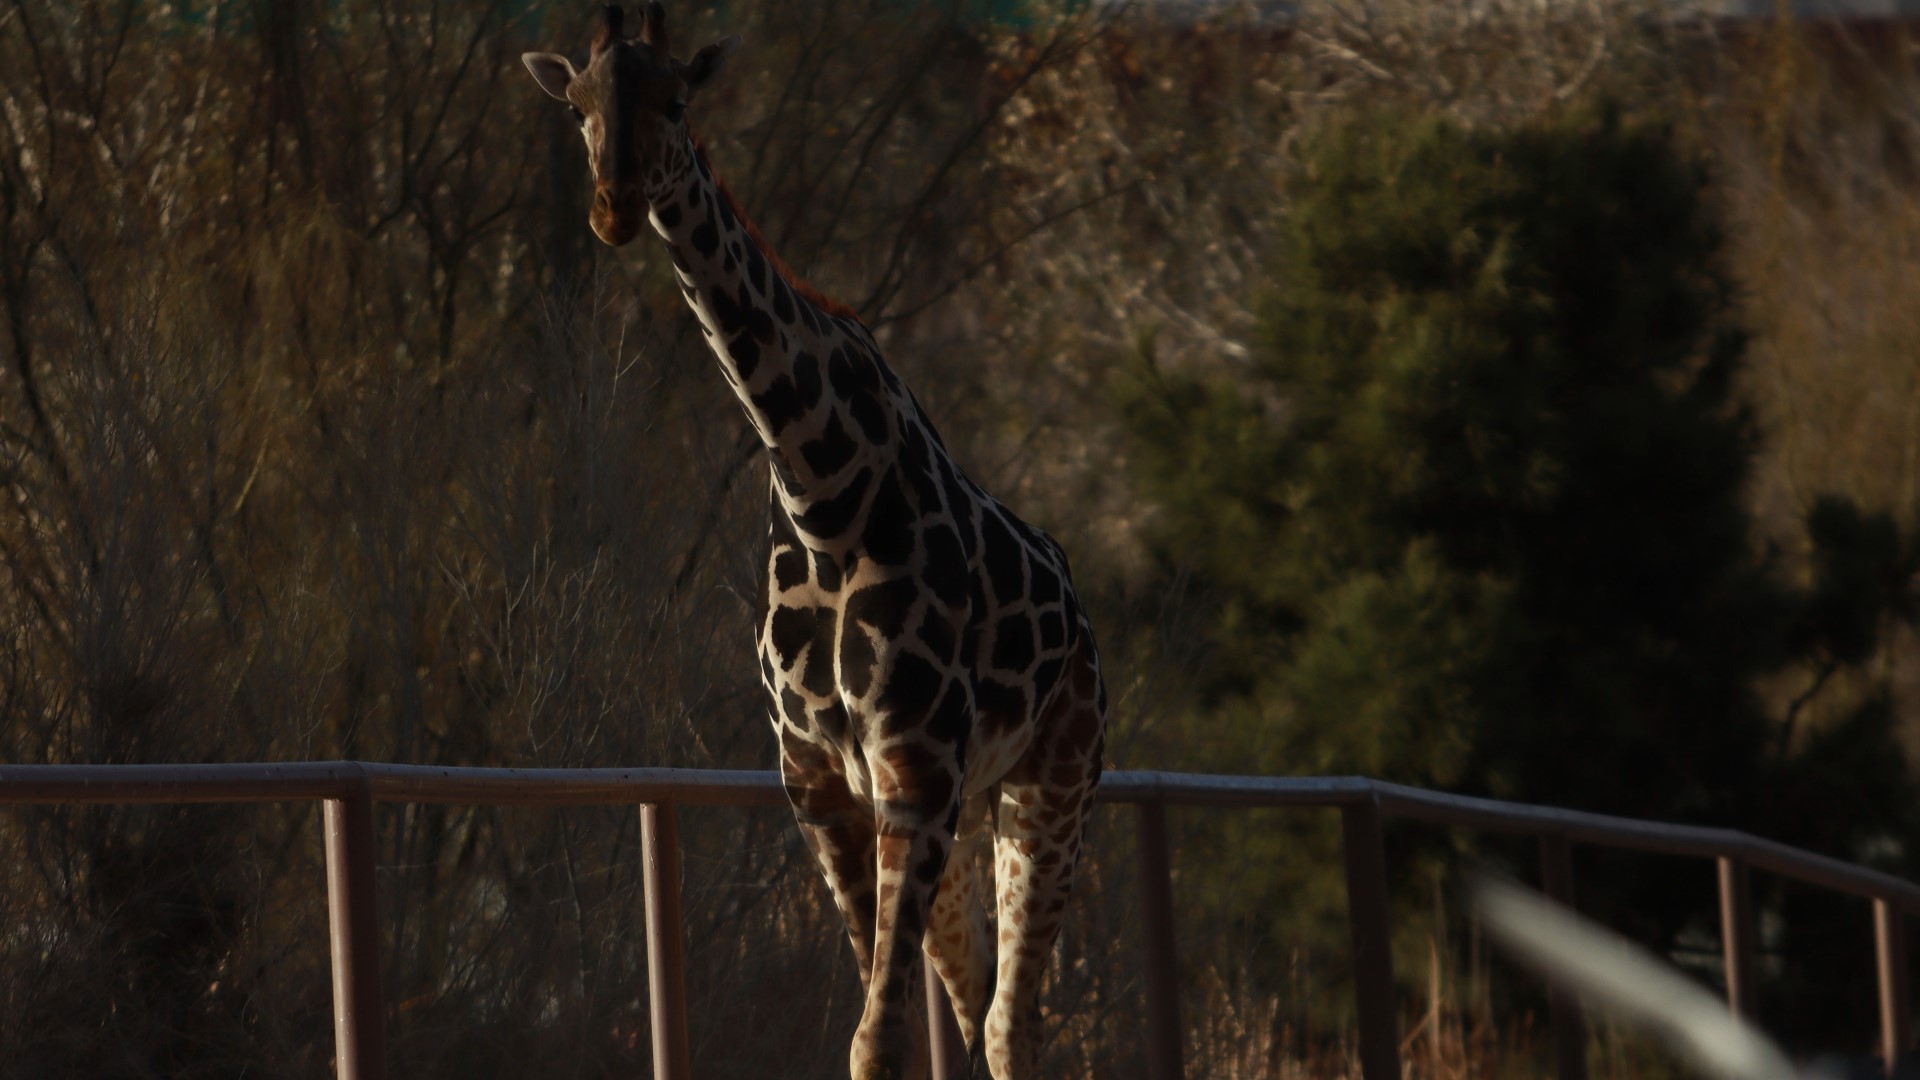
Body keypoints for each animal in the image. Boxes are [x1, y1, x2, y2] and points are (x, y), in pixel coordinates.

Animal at [529, 6, 1113, 1068]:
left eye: (676, 98)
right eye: (579, 106)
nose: (613, 210)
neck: (823, 496)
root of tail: (1083, 619)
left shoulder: (915, 774)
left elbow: (876, 1041)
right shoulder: (822, 784)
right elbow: (893, 1030)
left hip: (1054, 786)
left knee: (1011, 1024)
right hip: (971, 813)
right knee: (976, 1003)